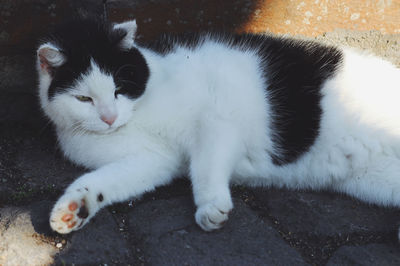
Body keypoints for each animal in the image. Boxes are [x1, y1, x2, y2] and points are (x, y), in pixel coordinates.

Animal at [36, 18, 400, 237]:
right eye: (84, 98)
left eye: (119, 89)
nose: (109, 117)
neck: (137, 115)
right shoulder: (152, 161)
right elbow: (102, 181)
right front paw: (74, 209)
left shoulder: (217, 120)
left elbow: (206, 165)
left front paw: (211, 207)